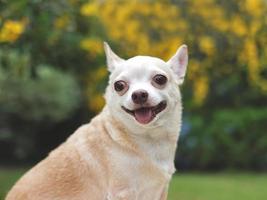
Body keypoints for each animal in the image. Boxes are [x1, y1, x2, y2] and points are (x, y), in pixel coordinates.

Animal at [5, 42, 188, 200]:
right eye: (119, 86)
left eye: (160, 79)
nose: (139, 94)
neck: (148, 138)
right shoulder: (123, 193)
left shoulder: (160, 191)